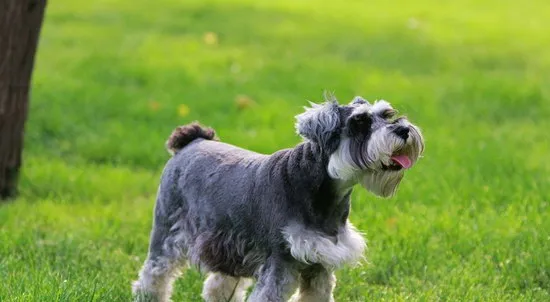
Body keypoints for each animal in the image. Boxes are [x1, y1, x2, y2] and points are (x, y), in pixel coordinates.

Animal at [132, 95, 424, 302]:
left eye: (387, 114)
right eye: (360, 123)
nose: (403, 130)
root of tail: (192, 140)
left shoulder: (320, 264)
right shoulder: (279, 261)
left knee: (219, 284)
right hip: (167, 232)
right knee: (154, 274)